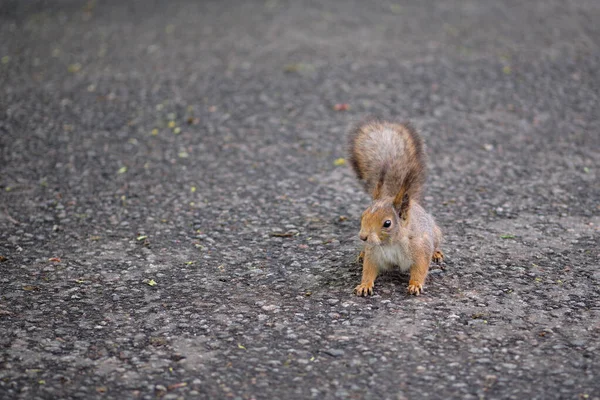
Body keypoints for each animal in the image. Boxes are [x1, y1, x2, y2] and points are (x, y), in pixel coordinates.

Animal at [346, 117, 440, 296]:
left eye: (387, 223)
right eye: (363, 216)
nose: (363, 237)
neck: (391, 243)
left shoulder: (420, 248)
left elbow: (420, 268)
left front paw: (415, 284)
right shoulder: (374, 253)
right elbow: (369, 269)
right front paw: (364, 285)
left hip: (436, 233)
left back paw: (437, 253)